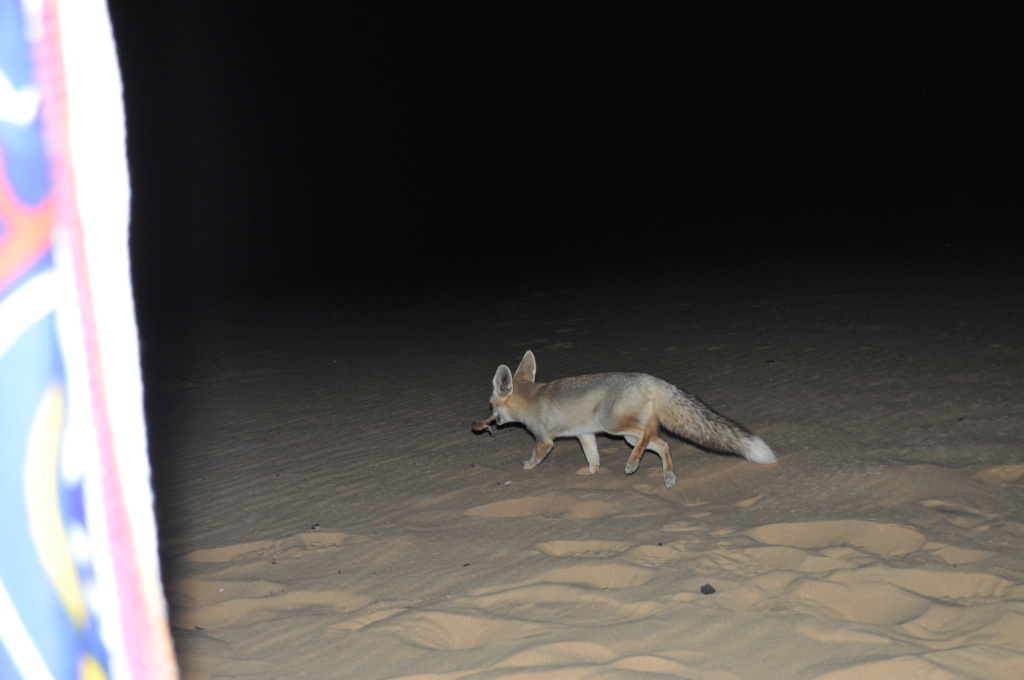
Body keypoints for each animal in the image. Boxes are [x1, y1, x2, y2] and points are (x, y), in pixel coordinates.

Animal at [477, 350, 774, 489]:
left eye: (491, 405)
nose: (489, 420)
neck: (531, 397)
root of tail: (649, 378)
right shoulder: (584, 434)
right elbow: (594, 459)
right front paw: (591, 474)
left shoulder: (544, 440)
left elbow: (536, 456)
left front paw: (527, 466)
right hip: (626, 435)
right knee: (662, 443)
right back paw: (667, 475)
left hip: (613, 426)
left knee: (647, 436)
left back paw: (632, 465)